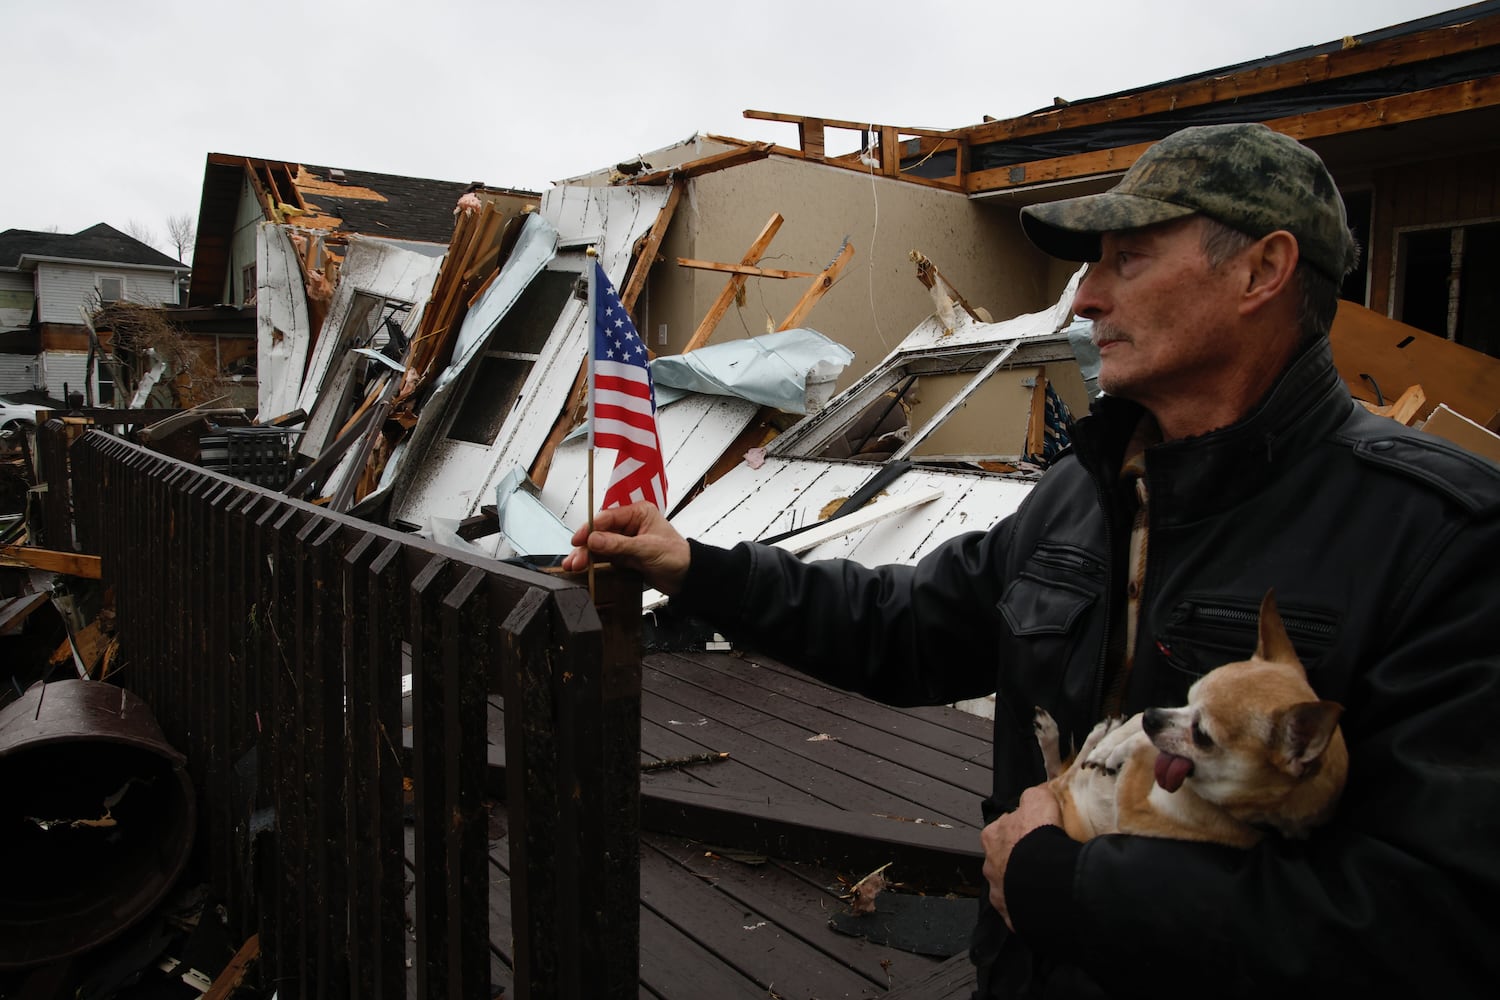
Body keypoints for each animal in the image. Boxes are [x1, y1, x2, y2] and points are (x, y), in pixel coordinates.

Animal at [1032, 590, 1350, 851]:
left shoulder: (1135, 812)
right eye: (1188, 697)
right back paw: (1086, 735)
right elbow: (1137, 729)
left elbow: (1145, 751)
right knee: (1061, 773)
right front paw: (1114, 744)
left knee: (1058, 778)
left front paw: (1124, 746)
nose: (1152, 715)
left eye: (1203, 736)